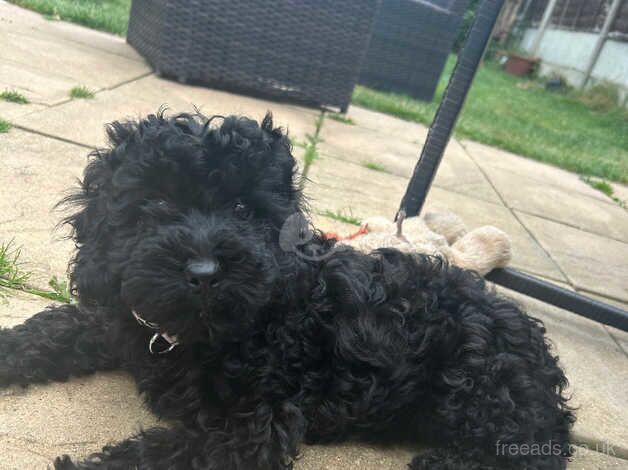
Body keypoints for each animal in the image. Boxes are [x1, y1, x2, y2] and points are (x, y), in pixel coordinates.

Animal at [0, 111, 576, 470]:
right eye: (157, 203)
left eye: (242, 209)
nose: (204, 273)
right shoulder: (128, 315)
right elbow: (62, 324)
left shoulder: (257, 426)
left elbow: (157, 455)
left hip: (479, 380)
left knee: (525, 452)